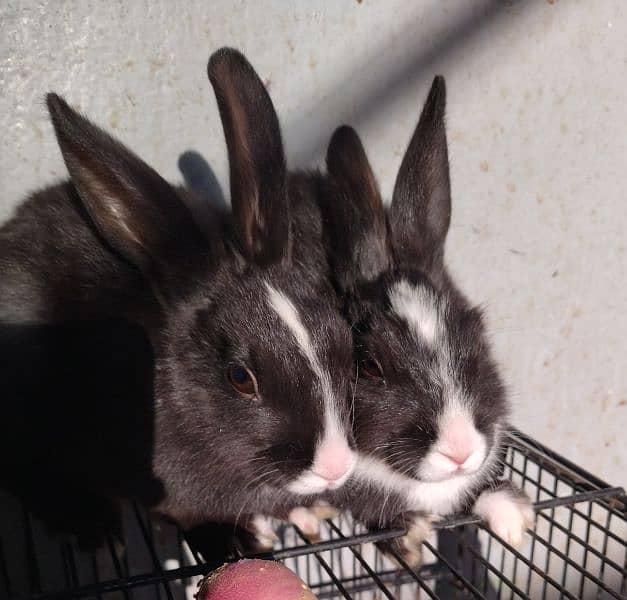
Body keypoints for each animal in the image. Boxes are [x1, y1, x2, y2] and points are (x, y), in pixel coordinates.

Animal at [0, 51, 358, 552]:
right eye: (240, 378)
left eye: (342, 338)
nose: (335, 467)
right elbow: (186, 516)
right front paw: (240, 542)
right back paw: (98, 529)